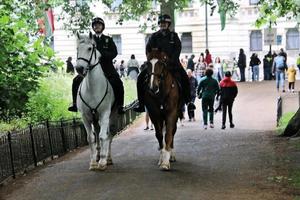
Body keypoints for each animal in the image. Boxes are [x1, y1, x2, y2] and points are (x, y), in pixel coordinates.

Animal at [75, 32, 116, 170]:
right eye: (77, 49)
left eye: (89, 48)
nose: (79, 68)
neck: (92, 89)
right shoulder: (85, 116)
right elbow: (91, 138)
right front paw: (93, 161)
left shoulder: (104, 114)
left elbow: (104, 136)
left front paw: (102, 161)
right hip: (95, 118)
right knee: (97, 134)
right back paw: (98, 154)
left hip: (110, 116)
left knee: (109, 135)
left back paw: (107, 158)